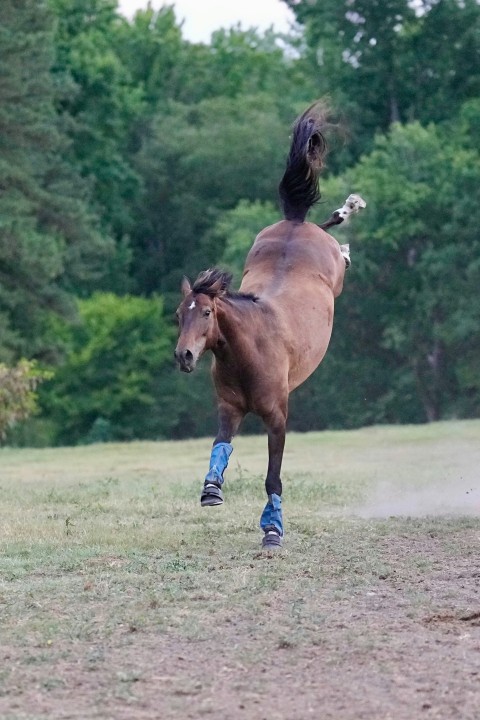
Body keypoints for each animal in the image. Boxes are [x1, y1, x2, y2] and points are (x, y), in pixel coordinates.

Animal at [174, 102, 365, 549]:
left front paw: (273, 529)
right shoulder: (230, 408)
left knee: (339, 244)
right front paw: (211, 490)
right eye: (178, 314)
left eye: (205, 313)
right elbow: (220, 446)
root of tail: (295, 222)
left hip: (335, 271)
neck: (249, 350)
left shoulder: (277, 416)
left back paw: (349, 214)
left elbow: (273, 475)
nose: (184, 356)